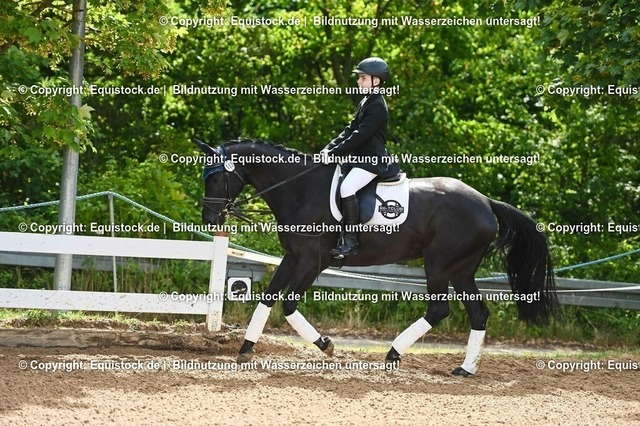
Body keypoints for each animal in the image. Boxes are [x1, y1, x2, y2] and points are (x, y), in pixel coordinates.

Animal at [195, 138, 560, 376]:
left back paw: (394, 353)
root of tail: (486, 202)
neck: (300, 190)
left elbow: (287, 304)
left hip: (439, 264)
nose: (209, 219)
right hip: (461, 270)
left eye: (216, 176)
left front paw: (326, 345)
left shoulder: (313, 261)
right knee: (478, 313)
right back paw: (465, 369)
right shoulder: (292, 256)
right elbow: (268, 299)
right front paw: (245, 349)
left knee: (439, 310)